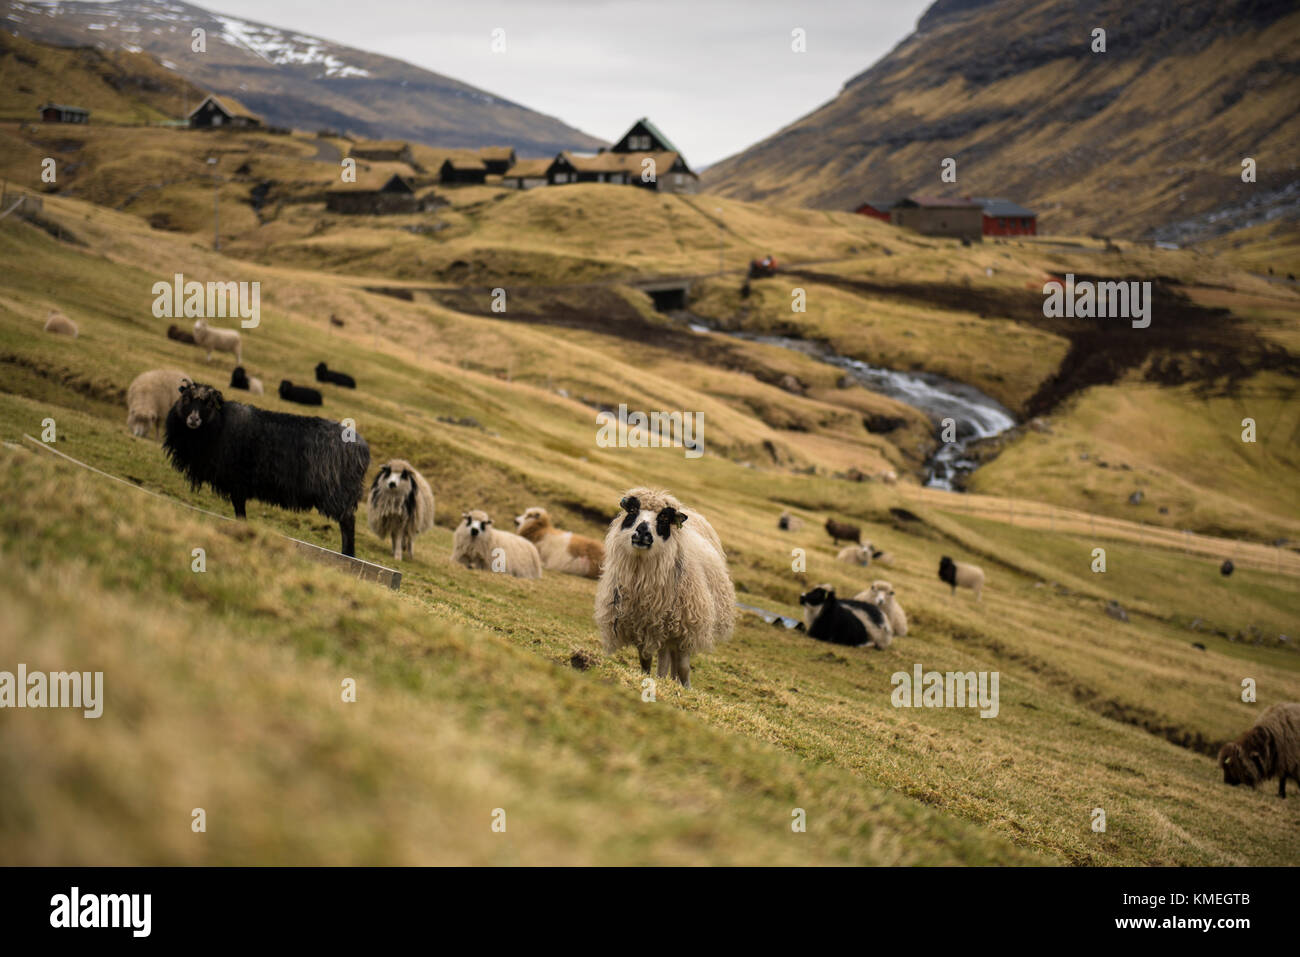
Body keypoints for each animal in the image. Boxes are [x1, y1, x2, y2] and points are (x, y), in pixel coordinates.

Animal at [162, 382, 369, 556]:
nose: (193, 419)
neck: (220, 424)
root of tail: (363, 449)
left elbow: (239, 507)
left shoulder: (237, 479)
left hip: (336, 491)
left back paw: (348, 554)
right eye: (187, 398)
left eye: (208, 403)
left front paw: (242, 526)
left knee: (348, 522)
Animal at [595, 486, 738, 686]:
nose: (643, 532)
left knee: (673, 658)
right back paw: (664, 677)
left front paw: (685, 688)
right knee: (665, 656)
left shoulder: (686, 625)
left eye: (663, 517)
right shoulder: (638, 623)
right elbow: (645, 659)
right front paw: (646, 677)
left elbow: (684, 667)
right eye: (633, 511)